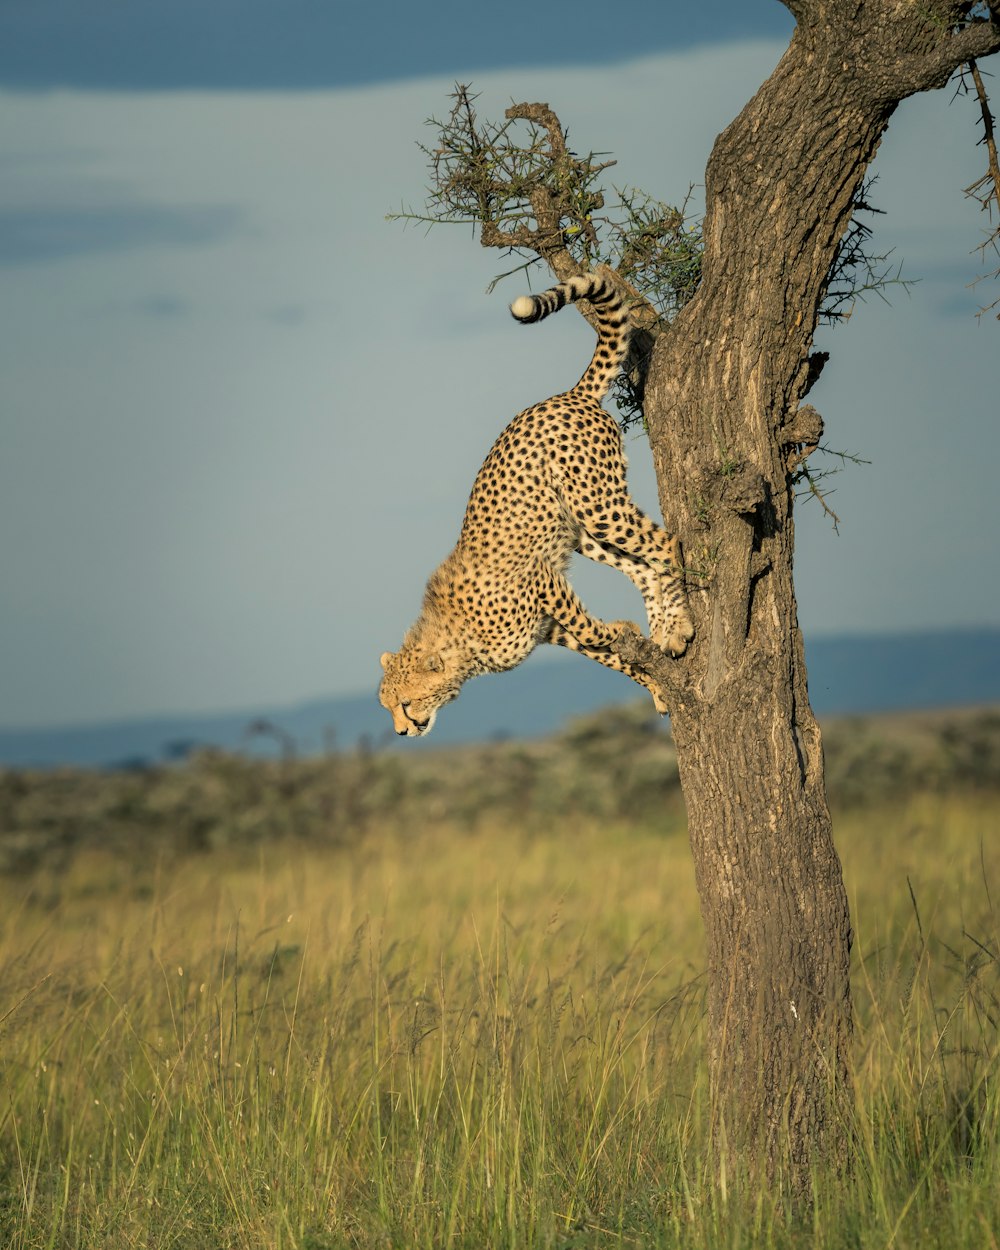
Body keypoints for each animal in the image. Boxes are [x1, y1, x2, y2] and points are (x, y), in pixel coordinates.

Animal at [380, 270, 690, 735]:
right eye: (387, 707)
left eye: (407, 701)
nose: (402, 731)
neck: (460, 645)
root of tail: (567, 395)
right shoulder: (548, 629)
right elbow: (609, 656)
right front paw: (650, 678)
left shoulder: (541, 579)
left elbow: (594, 632)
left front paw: (622, 631)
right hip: (580, 531)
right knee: (643, 566)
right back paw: (661, 630)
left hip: (598, 504)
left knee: (666, 544)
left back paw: (680, 625)